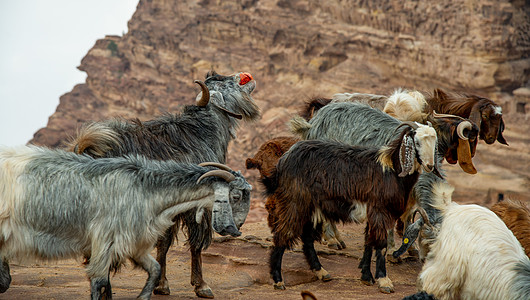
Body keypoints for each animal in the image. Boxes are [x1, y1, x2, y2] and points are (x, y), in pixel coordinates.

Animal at [0, 145, 251, 298]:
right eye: (236, 196)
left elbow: (155, 269)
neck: (144, 189)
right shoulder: (104, 241)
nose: (236, 230)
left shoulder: (134, 244)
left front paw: (143, 296)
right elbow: (99, 281)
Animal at [68, 70, 260, 298]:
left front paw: (161, 284)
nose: (246, 75)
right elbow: (195, 242)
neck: (201, 134)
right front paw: (201, 285)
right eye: (225, 83)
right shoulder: (198, 203)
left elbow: (164, 242)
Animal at [262, 121, 436, 292]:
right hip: (295, 203)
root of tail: (283, 161)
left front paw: (366, 276)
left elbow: (368, 242)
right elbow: (380, 245)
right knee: (283, 234)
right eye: (417, 142)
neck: (391, 169)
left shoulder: (371, 213)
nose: (430, 166)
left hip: (312, 208)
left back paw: (321, 272)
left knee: (307, 239)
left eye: (435, 143)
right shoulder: (380, 211)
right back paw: (278, 280)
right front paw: (384, 281)